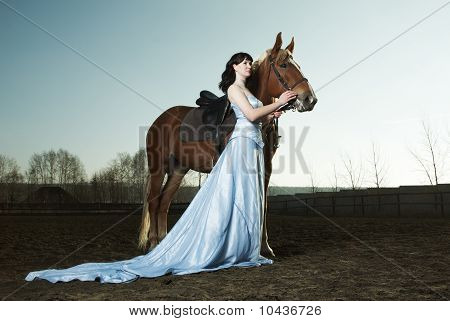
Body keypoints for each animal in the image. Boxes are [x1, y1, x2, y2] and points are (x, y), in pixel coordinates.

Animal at [137, 32, 316, 255]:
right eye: (284, 65)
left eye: (297, 65)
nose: (310, 99)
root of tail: (159, 119)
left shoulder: (266, 168)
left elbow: (263, 205)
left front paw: (264, 247)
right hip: (158, 167)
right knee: (154, 202)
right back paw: (153, 244)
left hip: (178, 170)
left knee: (164, 203)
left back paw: (164, 245)